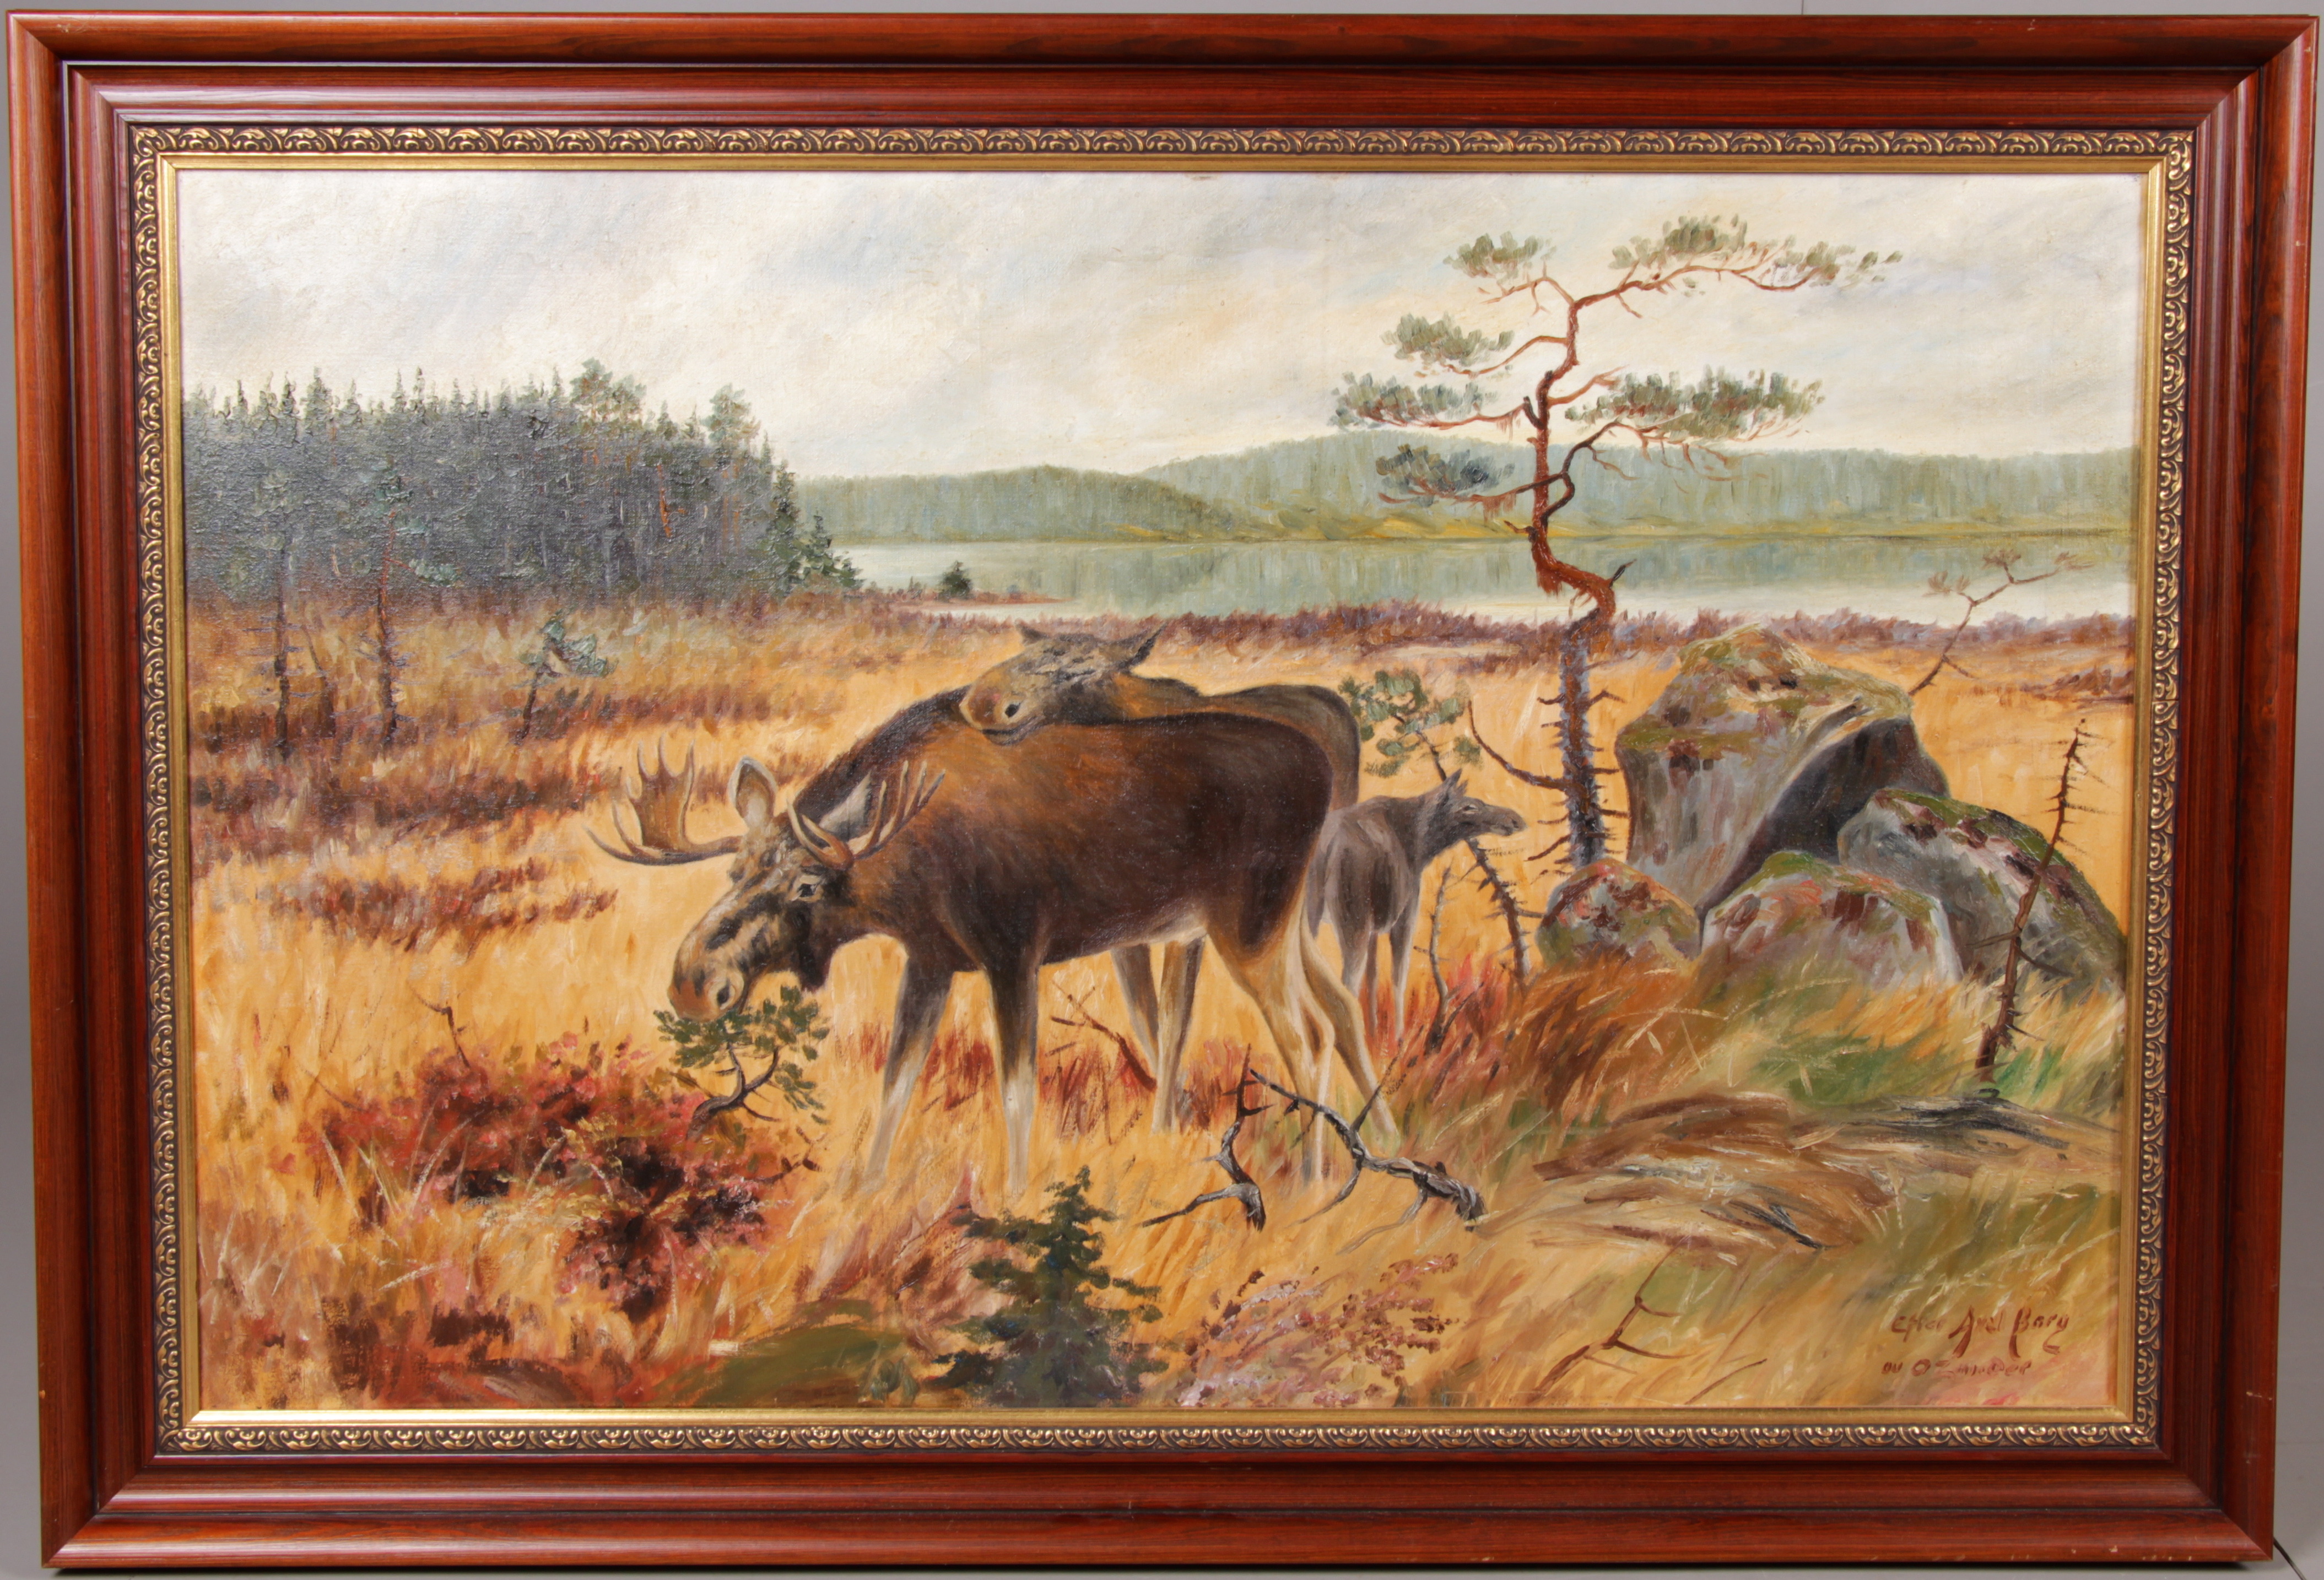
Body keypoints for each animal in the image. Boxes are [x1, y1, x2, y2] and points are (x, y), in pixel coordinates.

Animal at [592, 692, 1382, 1195]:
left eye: (808, 888)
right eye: (735, 871)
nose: (695, 979)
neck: (906, 871)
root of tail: (1322, 772)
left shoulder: (1013, 952)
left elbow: (1016, 1091)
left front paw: (1015, 1194)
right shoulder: (932, 961)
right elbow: (897, 1081)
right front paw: (865, 1187)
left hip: (1247, 922)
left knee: (1305, 1035)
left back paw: (1314, 1178)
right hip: (1281, 923)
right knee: (1343, 1009)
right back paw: (1382, 1145)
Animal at [958, 624, 1367, 1130]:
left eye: (1082, 671)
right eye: (1027, 654)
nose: (986, 702)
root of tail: (1342, 720)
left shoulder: (1182, 928)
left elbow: (1172, 1022)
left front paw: (1170, 1122)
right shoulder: (1133, 931)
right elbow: (1148, 1016)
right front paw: (1176, 1116)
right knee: (1342, 1003)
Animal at [1306, 774, 1530, 1046]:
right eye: (1469, 807)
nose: (1515, 819)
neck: (1422, 844)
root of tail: (1329, 848)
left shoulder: (1375, 926)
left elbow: (1373, 978)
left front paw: (1376, 1034)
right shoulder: (1404, 913)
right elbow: (1398, 977)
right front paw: (1399, 1039)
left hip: (1309, 916)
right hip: (1352, 919)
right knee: (1347, 984)